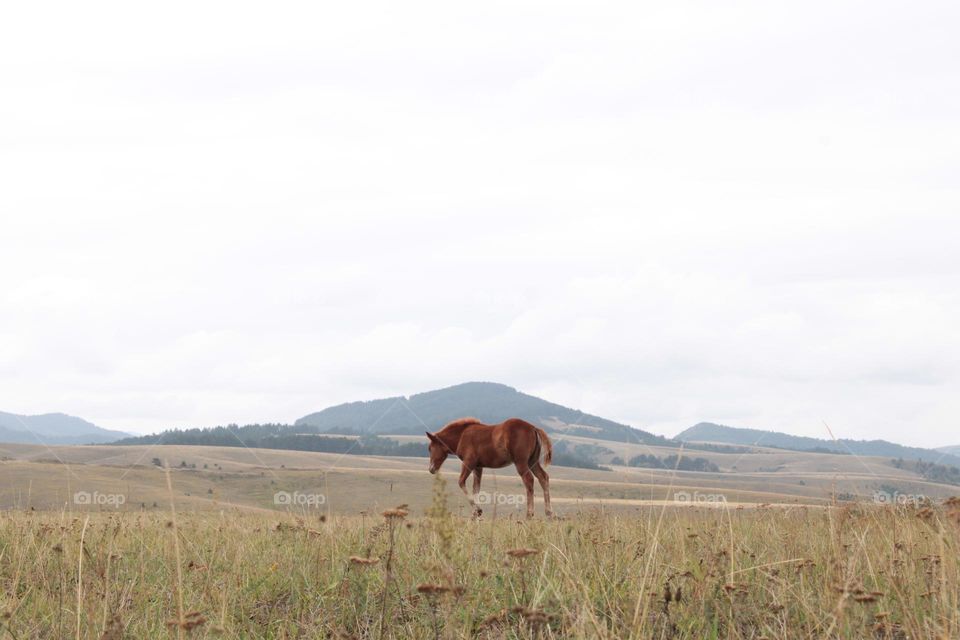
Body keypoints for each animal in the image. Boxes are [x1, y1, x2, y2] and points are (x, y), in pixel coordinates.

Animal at [424, 418, 552, 516]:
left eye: (430, 448)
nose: (431, 469)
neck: (461, 436)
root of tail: (533, 428)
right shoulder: (478, 467)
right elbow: (476, 489)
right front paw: (475, 515)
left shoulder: (468, 462)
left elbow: (461, 482)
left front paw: (478, 510)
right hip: (532, 461)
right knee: (543, 477)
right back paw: (549, 514)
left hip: (521, 462)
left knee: (529, 480)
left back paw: (529, 514)